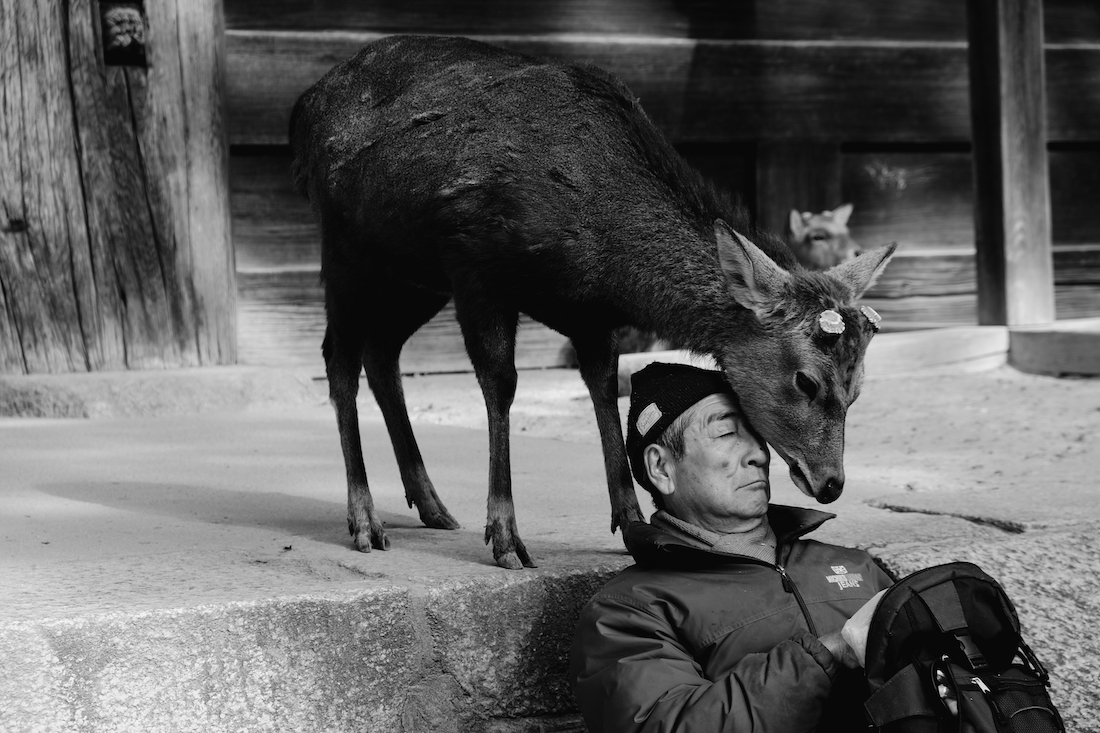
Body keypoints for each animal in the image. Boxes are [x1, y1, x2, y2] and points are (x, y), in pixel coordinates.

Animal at [289, 35, 896, 569]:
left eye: (858, 388)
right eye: (805, 381)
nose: (831, 483)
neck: (605, 257)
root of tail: (303, 107)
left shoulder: (591, 315)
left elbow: (604, 390)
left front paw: (631, 524)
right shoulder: (476, 264)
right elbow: (501, 384)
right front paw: (506, 537)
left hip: (413, 276)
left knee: (381, 353)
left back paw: (432, 503)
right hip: (346, 249)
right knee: (338, 358)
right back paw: (365, 518)